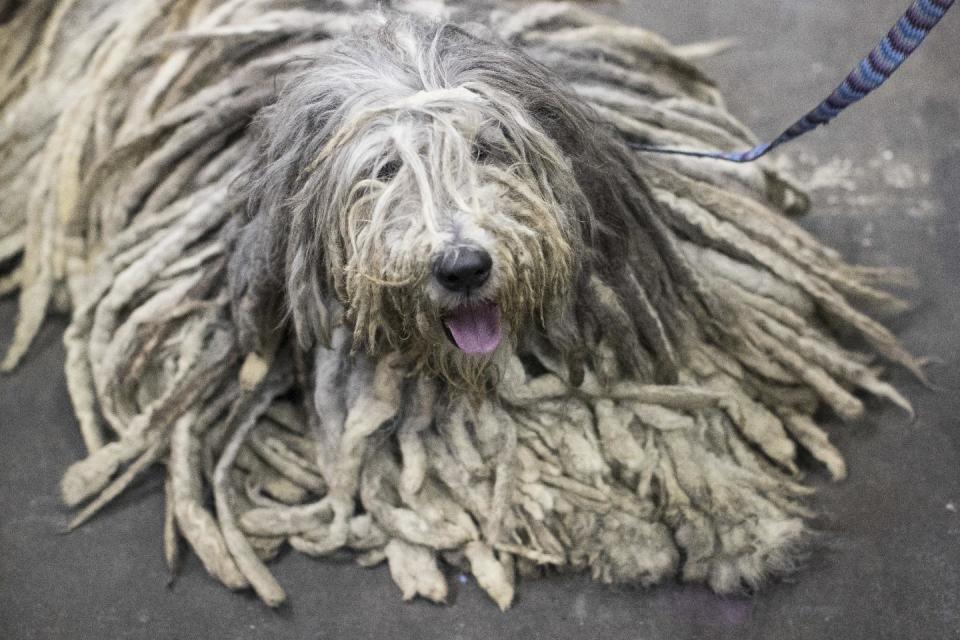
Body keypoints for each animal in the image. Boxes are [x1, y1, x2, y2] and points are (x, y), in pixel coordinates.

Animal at [0, 1, 916, 608]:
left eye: (490, 150)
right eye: (381, 170)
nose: (464, 266)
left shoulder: (636, 299)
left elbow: (671, 398)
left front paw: (732, 518)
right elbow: (485, 447)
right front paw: (615, 523)